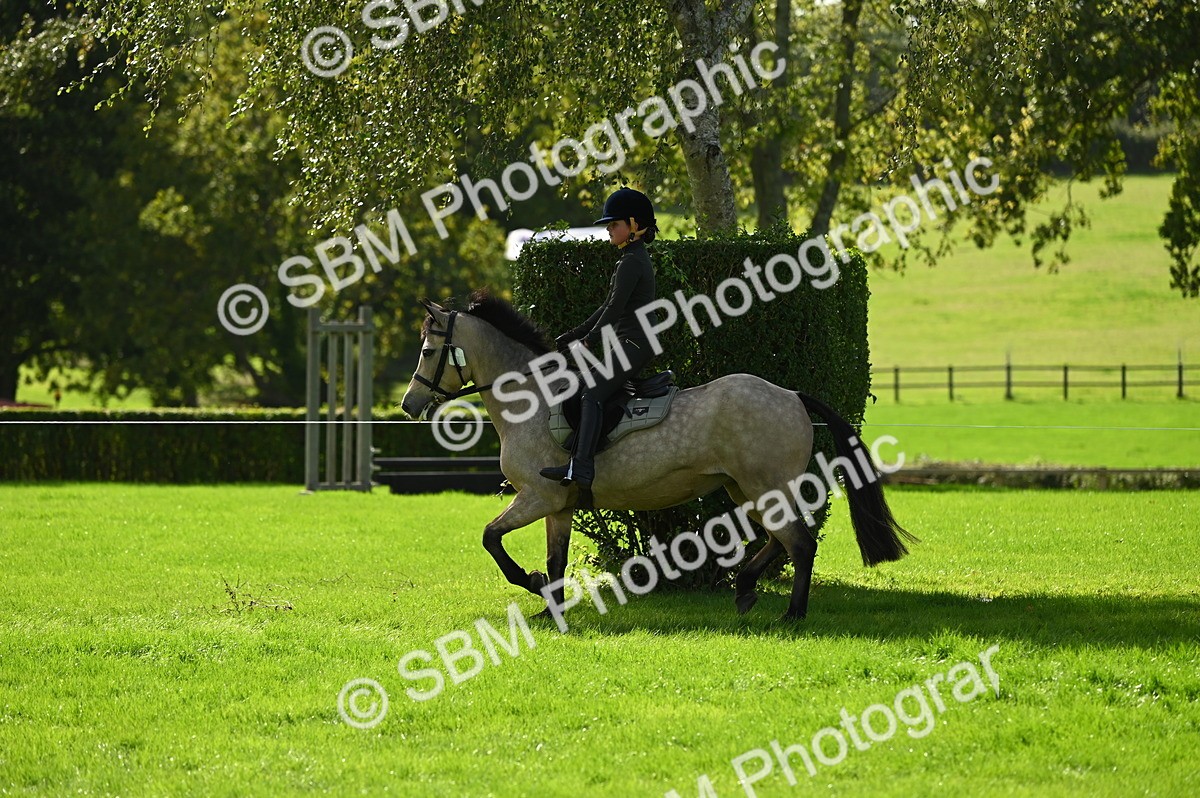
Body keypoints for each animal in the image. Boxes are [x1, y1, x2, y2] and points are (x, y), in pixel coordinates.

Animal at [400, 290, 915, 622]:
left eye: (427, 351)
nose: (408, 405)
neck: (534, 399)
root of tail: (790, 395)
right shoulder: (558, 506)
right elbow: (555, 560)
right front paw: (551, 607)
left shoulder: (537, 497)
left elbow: (491, 538)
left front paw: (529, 582)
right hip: (744, 489)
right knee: (780, 539)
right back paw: (746, 591)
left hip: (765, 486)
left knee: (800, 543)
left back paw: (792, 613)